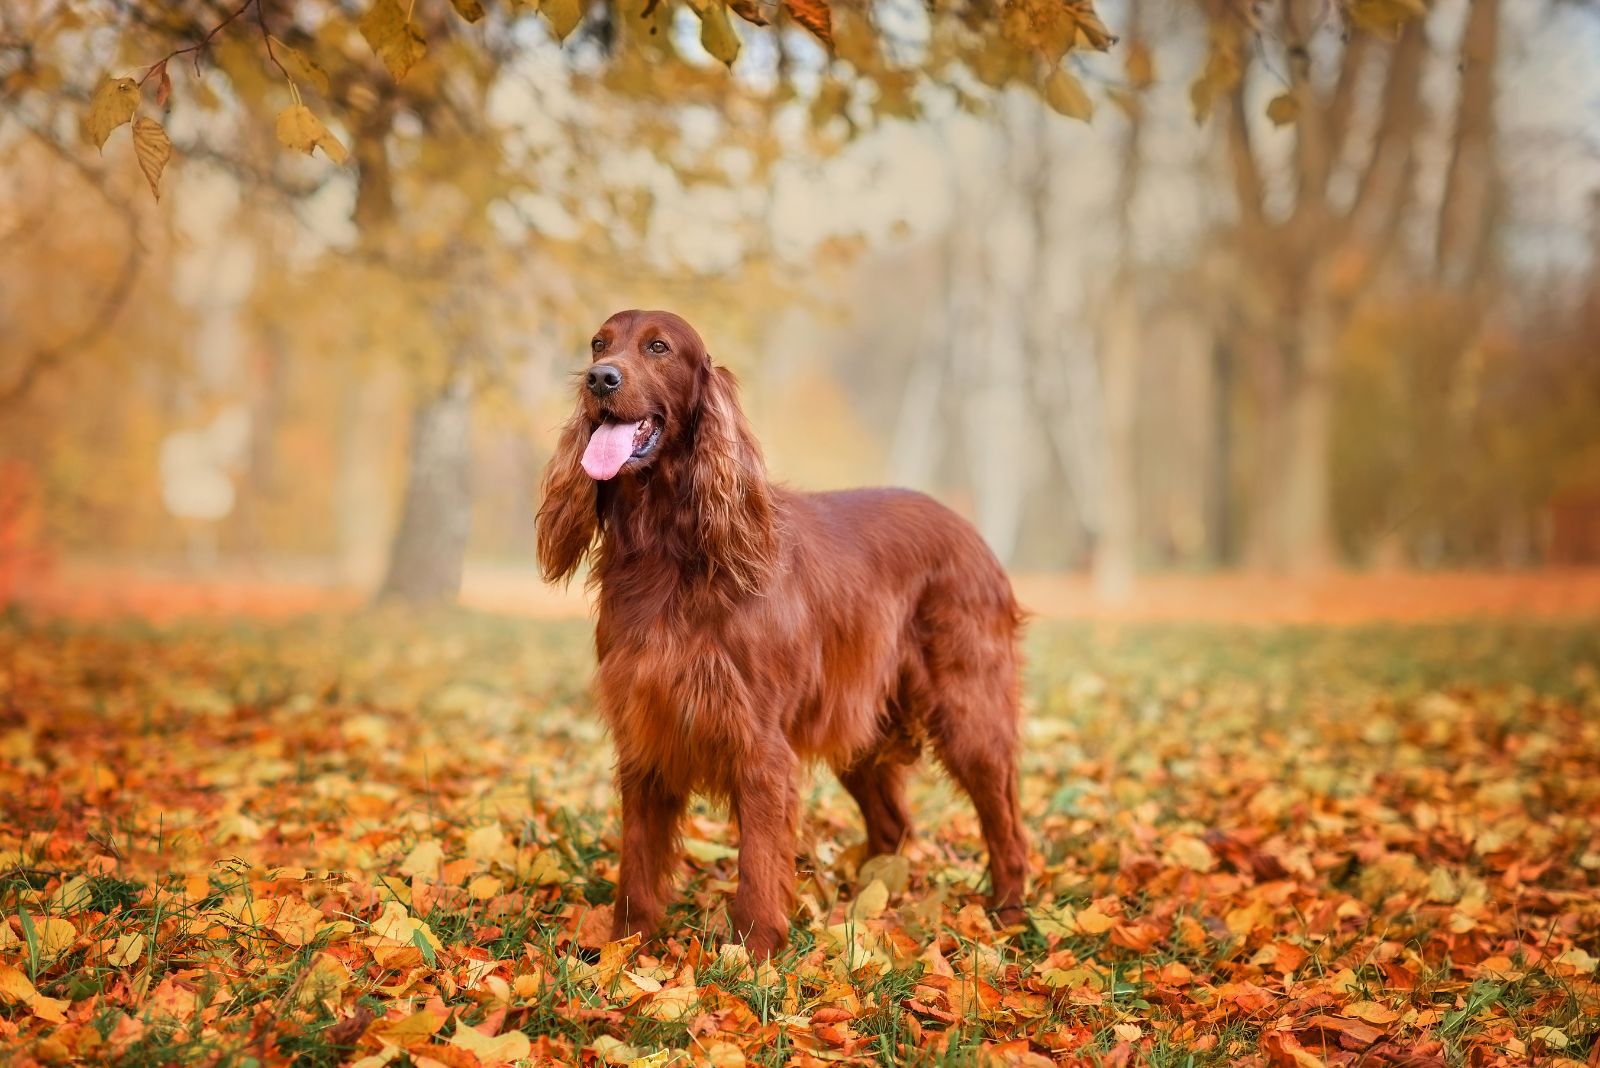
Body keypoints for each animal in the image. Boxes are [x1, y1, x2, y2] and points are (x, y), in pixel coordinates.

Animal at [537, 308, 1024, 959]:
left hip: (969, 711)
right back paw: (866, 910)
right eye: (598, 343)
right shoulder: (645, 728)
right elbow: (637, 861)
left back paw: (1008, 914)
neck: (669, 548)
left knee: (1005, 823)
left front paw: (754, 955)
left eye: (659, 347)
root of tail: (972, 533)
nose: (600, 379)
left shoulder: (760, 743)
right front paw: (626, 949)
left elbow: (759, 864)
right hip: (860, 724)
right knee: (893, 825)